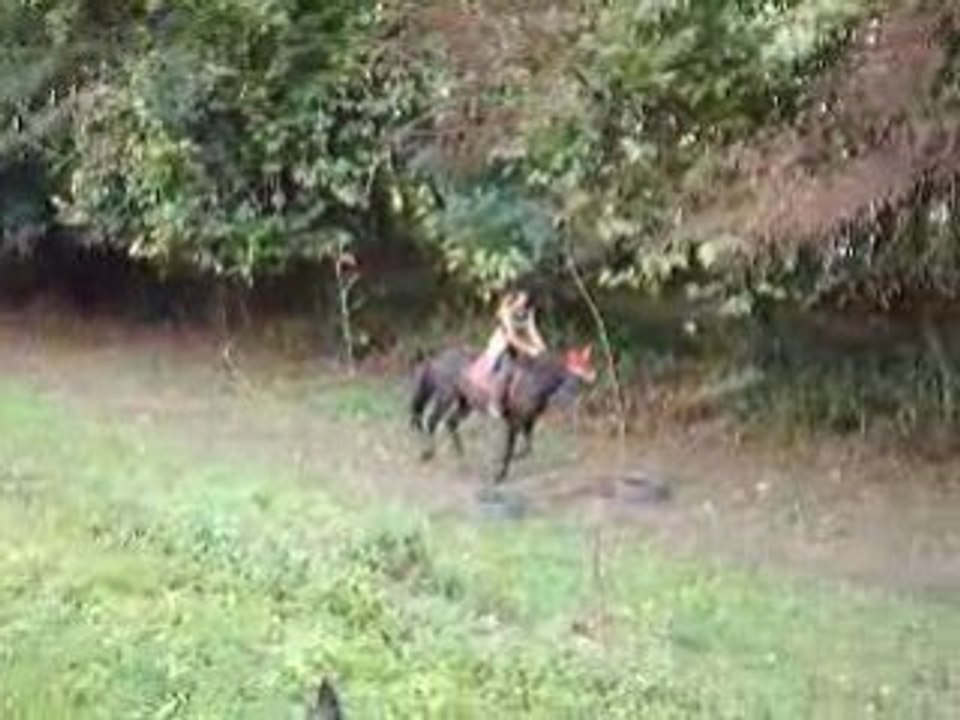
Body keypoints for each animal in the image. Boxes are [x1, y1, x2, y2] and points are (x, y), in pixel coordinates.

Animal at [410, 343, 597, 483]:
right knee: (432, 421)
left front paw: (502, 463)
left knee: (450, 422)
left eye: (588, 363)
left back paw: (461, 456)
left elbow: (527, 449)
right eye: (580, 367)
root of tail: (437, 358)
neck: (535, 382)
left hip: (466, 403)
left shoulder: (529, 421)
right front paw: (500, 475)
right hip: (446, 397)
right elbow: (510, 448)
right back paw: (429, 453)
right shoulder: (513, 421)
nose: (594, 376)